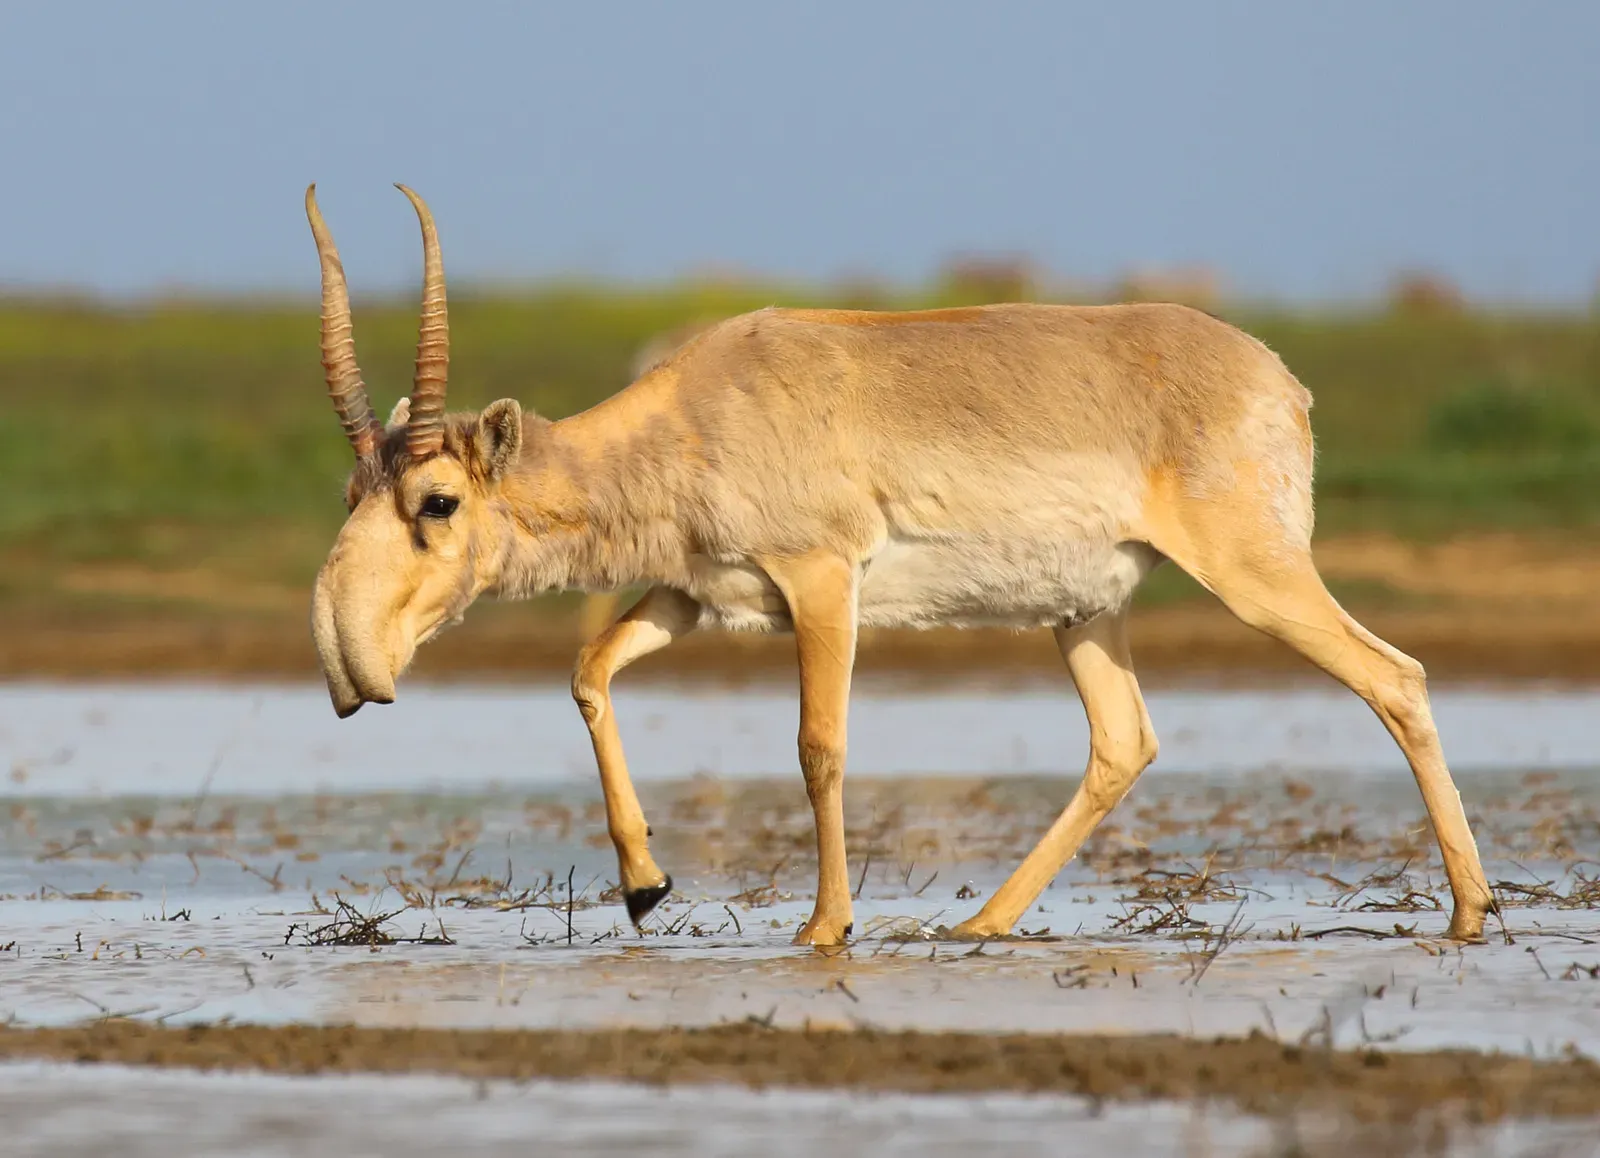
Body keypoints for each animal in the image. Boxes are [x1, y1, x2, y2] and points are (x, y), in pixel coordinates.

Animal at [305, 184, 1496, 947]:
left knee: (1394, 677)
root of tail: (1278, 379)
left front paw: (824, 926)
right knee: (1123, 742)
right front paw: (645, 887)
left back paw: (1470, 911)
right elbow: (588, 671)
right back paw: (981, 922)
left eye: (437, 500)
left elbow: (819, 746)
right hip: (1084, 613)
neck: (696, 409)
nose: (347, 662)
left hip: (1256, 577)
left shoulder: (822, 583)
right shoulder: (696, 595)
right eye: (352, 491)